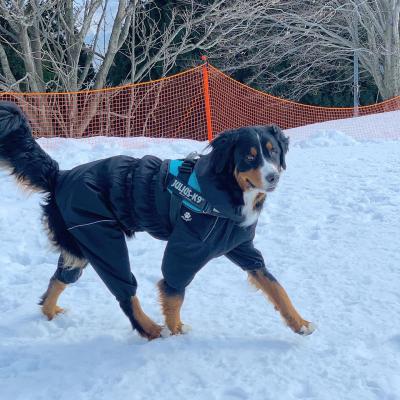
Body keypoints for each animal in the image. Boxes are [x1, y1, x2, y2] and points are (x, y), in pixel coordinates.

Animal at [0, 101, 316, 340]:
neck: (226, 190)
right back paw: (151, 329)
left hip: (79, 245)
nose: (273, 176)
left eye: (273, 152)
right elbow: (173, 291)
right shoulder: (185, 248)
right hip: (102, 239)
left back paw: (49, 311)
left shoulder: (243, 248)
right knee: (125, 293)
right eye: (249, 157)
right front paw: (176, 331)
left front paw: (299, 324)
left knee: (59, 278)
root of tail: (60, 176)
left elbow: (276, 287)